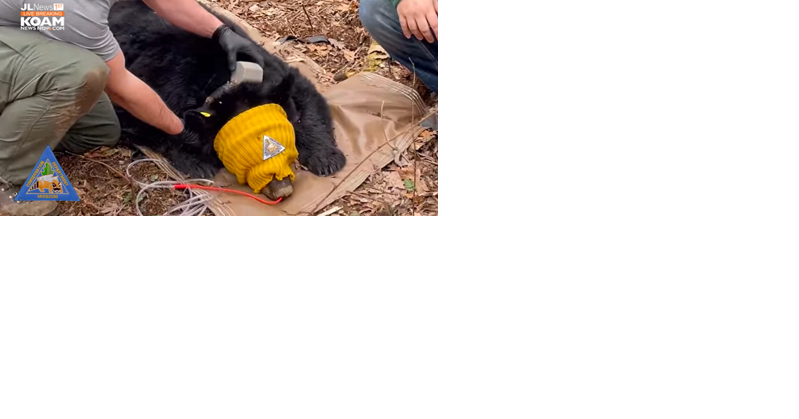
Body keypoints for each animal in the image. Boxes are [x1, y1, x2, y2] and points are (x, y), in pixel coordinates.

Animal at [108, 0, 346, 199]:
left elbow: (304, 94)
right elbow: (148, 122)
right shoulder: (160, 85)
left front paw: (327, 159)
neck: (226, 83)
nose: (283, 189)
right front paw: (197, 161)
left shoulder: (270, 67)